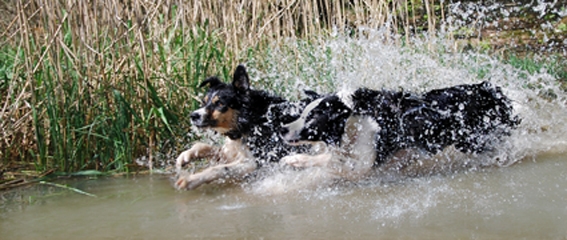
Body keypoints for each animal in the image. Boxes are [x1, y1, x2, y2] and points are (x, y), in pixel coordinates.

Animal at [175, 64, 312, 190]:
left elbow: (220, 169)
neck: (251, 119)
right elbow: (203, 146)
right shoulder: (232, 150)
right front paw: (186, 156)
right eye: (204, 102)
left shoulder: (255, 161)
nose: (193, 116)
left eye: (220, 103)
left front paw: (191, 179)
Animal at [278, 81, 520, 180]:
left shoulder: (365, 160)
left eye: (311, 118)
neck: (351, 122)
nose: (282, 129)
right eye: (301, 113)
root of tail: (487, 90)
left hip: (472, 141)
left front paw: (295, 162)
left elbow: (333, 163)